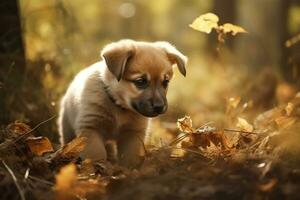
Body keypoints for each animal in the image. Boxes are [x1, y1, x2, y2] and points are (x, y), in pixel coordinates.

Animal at [57, 39, 186, 167]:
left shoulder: (132, 134)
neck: (118, 106)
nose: (159, 107)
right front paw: (97, 168)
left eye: (165, 82)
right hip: (67, 129)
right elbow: (97, 154)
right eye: (140, 81)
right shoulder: (90, 128)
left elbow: (130, 157)